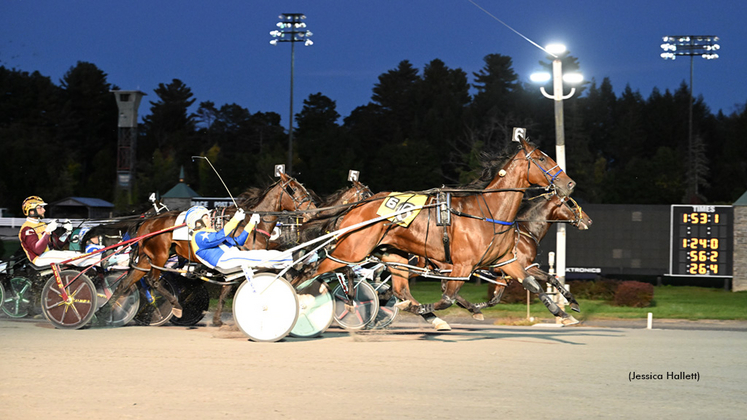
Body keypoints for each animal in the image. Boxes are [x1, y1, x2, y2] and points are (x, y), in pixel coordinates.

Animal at [106, 172, 314, 320]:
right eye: (294, 189)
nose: (313, 210)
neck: (249, 224)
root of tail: (148, 221)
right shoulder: (250, 260)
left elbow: (227, 288)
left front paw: (217, 320)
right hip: (160, 256)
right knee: (152, 281)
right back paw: (176, 306)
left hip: (145, 259)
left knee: (125, 283)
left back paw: (106, 314)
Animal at [296, 136, 576, 326]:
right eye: (541, 158)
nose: (569, 183)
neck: (490, 212)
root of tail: (356, 208)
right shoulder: (462, 265)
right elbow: (447, 298)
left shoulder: (506, 261)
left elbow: (533, 284)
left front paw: (563, 312)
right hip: (349, 252)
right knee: (311, 273)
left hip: (393, 255)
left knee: (400, 289)